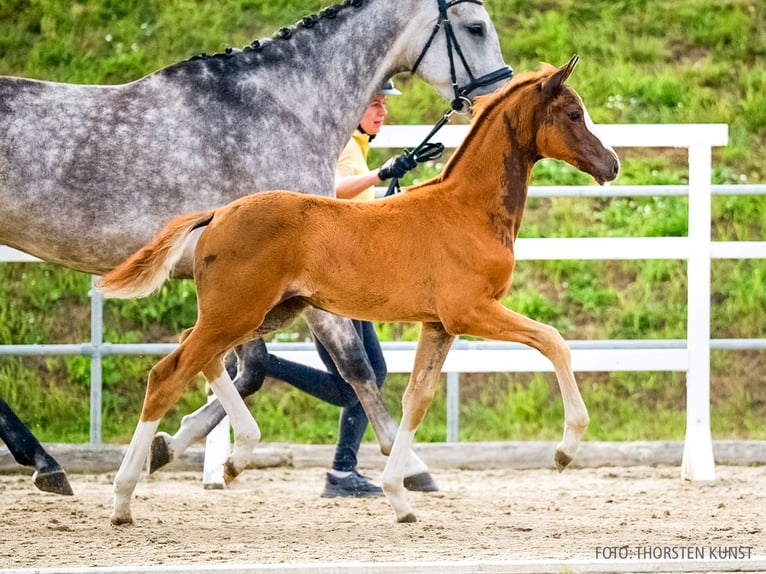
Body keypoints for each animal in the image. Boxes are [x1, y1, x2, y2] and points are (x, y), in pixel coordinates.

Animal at [0, 0, 512, 491]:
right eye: (475, 27)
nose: (498, 96)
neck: (278, 107)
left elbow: (249, 369)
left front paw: (172, 444)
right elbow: (353, 365)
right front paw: (409, 467)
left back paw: (46, 463)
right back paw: (46, 464)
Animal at [98, 55, 620, 524]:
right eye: (574, 114)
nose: (612, 165)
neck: (465, 211)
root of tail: (218, 213)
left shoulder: (439, 325)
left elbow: (417, 399)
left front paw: (400, 497)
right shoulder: (471, 311)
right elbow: (553, 341)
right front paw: (566, 449)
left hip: (267, 312)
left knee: (198, 352)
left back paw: (234, 457)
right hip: (238, 312)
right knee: (168, 373)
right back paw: (123, 500)